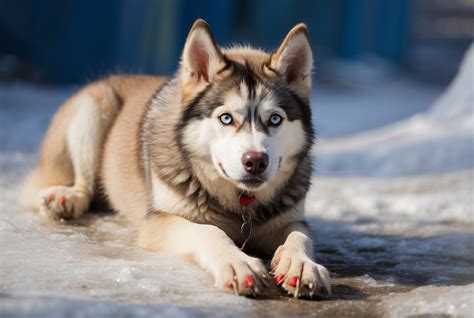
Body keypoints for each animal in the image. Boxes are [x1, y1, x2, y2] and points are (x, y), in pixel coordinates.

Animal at [21, 19, 330, 298]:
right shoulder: (159, 221)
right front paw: (237, 264)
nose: (255, 161)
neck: (240, 204)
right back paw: (68, 198)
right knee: (83, 183)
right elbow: (209, 232)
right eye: (226, 118)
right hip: (94, 108)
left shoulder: (288, 220)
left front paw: (302, 265)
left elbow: (299, 236)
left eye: (275, 119)